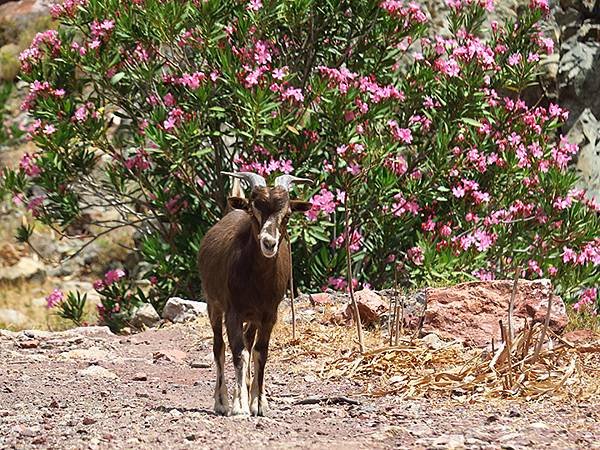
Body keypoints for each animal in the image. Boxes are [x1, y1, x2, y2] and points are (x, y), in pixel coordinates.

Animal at [200, 171, 314, 414]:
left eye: (287, 215)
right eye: (253, 212)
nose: (269, 243)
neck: (258, 282)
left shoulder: (269, 314)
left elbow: (260, 352)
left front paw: (259, 403)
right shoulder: (233, 312)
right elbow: (239, 352)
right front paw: (239, 406)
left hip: (252, 317)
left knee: (249, 341)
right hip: (213, 304)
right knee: (219, 346)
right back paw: (221, 401)